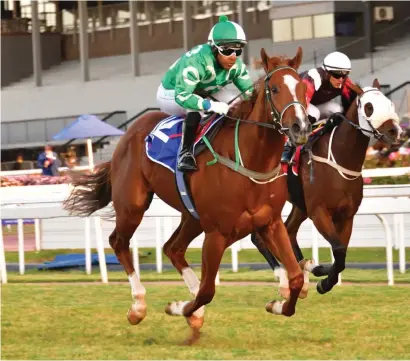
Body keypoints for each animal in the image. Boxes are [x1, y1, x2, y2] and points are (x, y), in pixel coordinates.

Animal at [63, 47, 310, 344]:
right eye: (274, 89)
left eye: (303, 89)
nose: (300, 128)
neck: (251, 160)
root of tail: (127, 134)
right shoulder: (216, 233)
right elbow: (207, 291)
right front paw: (178, 308)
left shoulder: (270, 223)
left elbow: (296, 278)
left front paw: (278, 304)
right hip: (133, 205)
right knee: (119, 242)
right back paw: (139, 306)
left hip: (191, 216)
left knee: (173, 248)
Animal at [250, 78, 400, 296]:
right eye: (369, 107)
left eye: (390, 104)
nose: (395, 132)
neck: (339, 159)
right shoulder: (319, 212)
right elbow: (338, 250)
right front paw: (323, 280)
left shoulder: (346, 216)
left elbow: (341, 255)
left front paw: (323, 276)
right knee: (259, 237)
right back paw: (282, 273)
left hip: (300, 206)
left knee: (289, 231)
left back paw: (306, 266)